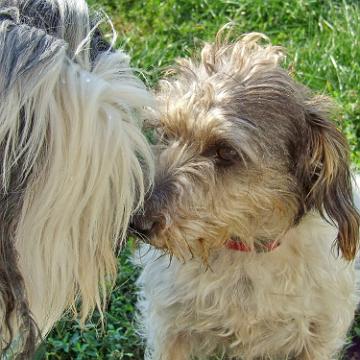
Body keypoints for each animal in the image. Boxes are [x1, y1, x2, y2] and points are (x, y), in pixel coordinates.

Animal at [133, 31, 360, 360]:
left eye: (225, 152)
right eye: (166, 133)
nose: (135, 224)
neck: (246, 251)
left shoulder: (321, 333)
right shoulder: (170, 328)